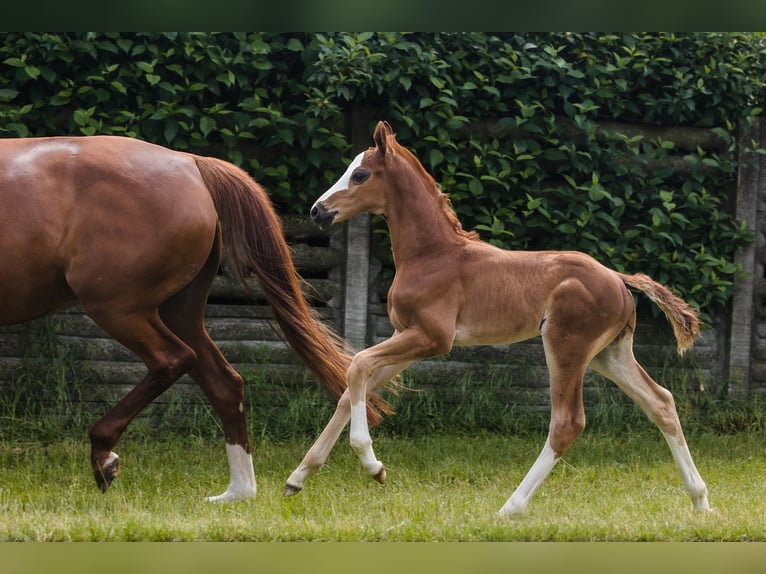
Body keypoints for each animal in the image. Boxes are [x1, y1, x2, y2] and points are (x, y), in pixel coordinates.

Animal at [0, 137, 390, 502]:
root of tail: (192, 163)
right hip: (179, 313)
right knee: (225, 383)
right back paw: (237, 492)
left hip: (118, 307)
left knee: (173, 360)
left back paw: (105, 458)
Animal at [288, 120, 712, 516]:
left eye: (360, 174)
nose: (317, 211)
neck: (432, 255)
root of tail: (620, 280)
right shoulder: (406, 337)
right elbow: (351, 389)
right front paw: (298, 477)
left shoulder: (432, 338)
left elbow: (357, 365)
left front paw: (372, 465)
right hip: (610, 354)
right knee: (661, 402)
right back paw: (701, 500)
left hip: (566, 346)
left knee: (568, 422)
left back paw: (510, 507)